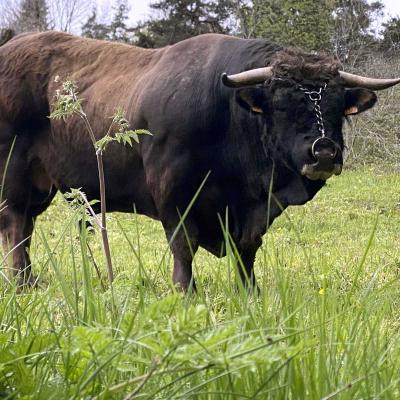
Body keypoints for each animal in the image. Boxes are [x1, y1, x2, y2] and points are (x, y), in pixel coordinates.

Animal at [0, 30, 400, 288]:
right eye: (282, 104)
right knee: (16, 225)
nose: (324, 151)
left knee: (26, 228)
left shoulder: (252, 213)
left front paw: (248, 291)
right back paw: (22, 282)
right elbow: (183, 246)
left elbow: (247, 250)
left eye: (337, 106)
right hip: (14, 176)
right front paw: (185, 290)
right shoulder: (173, 193)